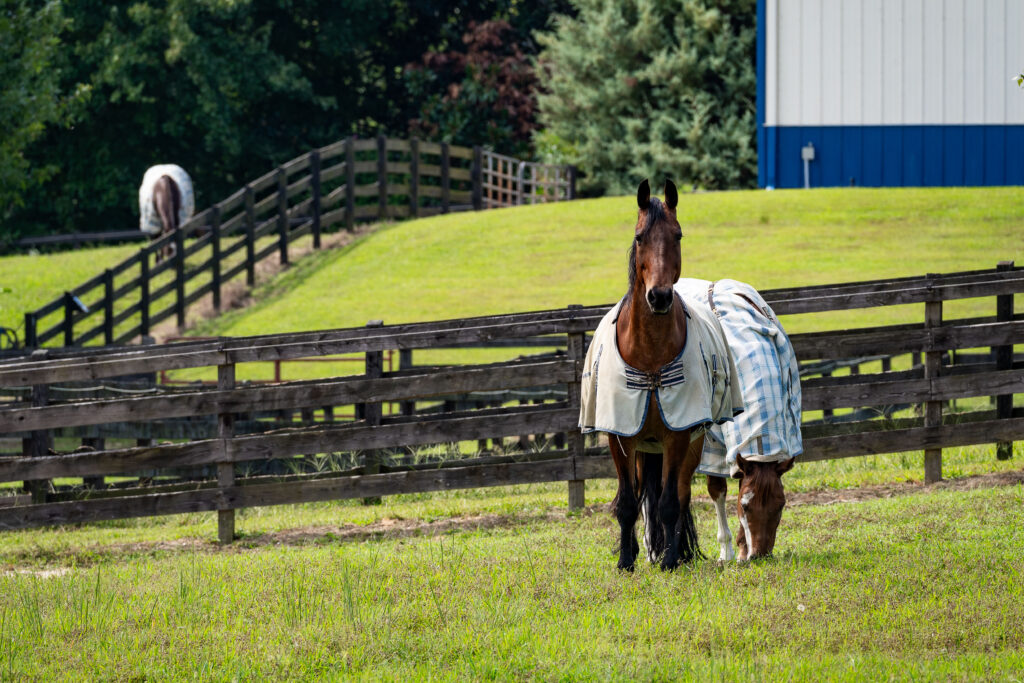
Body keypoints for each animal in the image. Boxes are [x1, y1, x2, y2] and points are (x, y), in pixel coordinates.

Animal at [581, 181, 802, 573]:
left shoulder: (683, 435)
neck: (650, 357)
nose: (659, 296)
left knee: (676, 495)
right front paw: (627, 561)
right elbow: (628, 502)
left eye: (678, 235)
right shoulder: (621, 436)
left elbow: (674, 500)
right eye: (639, 236)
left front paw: (674, 558)